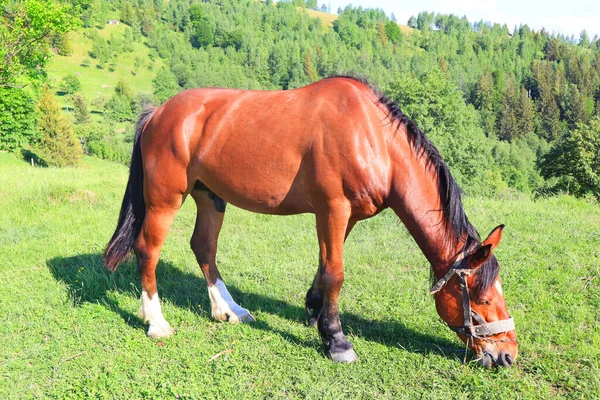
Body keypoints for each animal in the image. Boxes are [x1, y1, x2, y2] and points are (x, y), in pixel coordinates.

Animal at [105, 76, 516, 368]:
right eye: (482, 299)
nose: (507, 355)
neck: (372, 137)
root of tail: (158, 113)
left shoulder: (345, 217)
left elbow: (324, 267)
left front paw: (314, 312)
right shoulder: (333, 209)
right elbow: (336, 273)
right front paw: (336, 340)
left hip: (210, 197)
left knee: (203, 247)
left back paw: (228, 310)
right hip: (165, 199)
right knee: (148, 250)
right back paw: (156, 321)